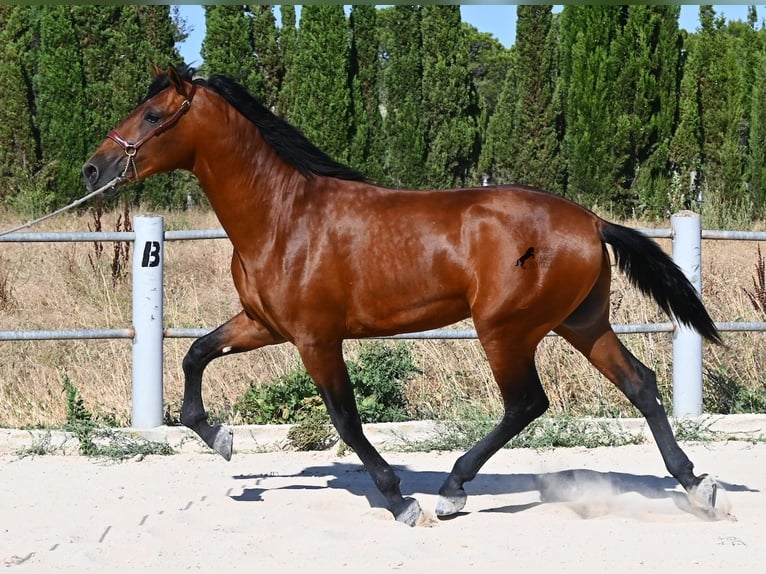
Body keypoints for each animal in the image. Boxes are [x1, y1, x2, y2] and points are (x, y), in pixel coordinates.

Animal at [83, 65, 723, 526]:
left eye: (153, 114)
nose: (93, 169)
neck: (283, 217)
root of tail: (592, 222)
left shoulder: (316, 339)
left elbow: (347, 420)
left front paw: (399, 500)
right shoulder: (263, 323)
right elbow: (195, 355)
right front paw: (220, 439)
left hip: (506, 329)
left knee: (526, 403)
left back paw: (450, 490)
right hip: (581, 323)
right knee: (640, 384)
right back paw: (697, 486)